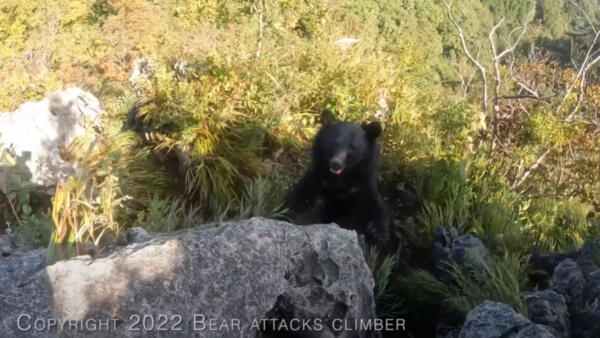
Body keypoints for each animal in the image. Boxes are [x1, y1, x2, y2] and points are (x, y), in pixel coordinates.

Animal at [288, 111, 392, 248]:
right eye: (335, 142)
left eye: (352, 148)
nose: (336, 163)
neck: (340, 180)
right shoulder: (317, 181)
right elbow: (301, 203)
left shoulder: (363, 186)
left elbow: (375, 208)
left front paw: (379, 234)